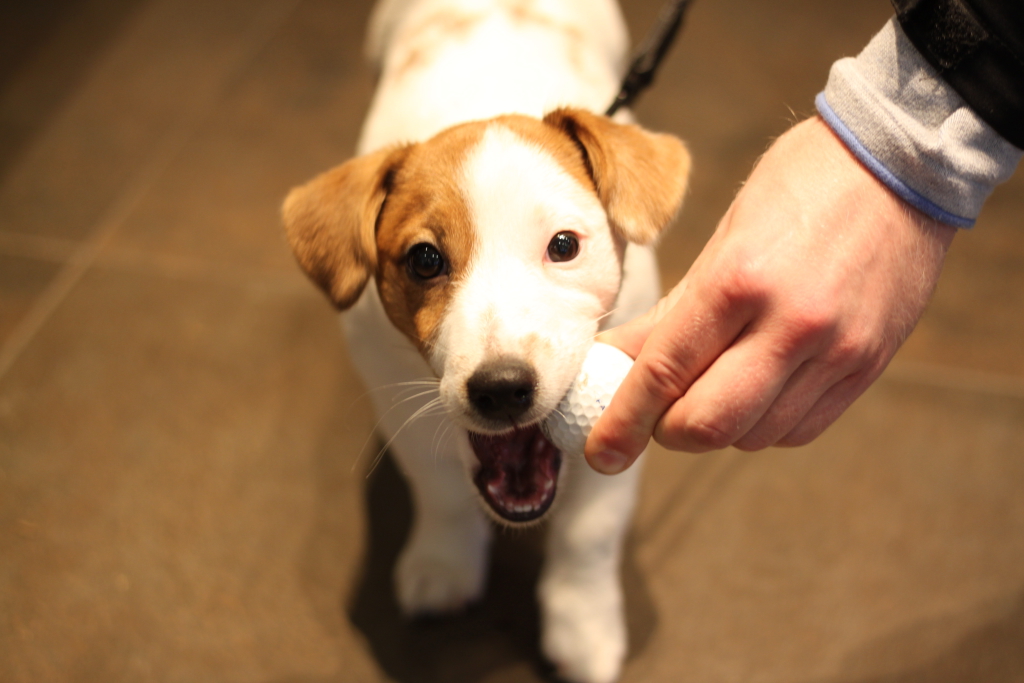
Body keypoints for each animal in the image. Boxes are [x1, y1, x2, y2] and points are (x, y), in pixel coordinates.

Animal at [284, 2, 692, 679]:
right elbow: (442, 494)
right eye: (424, 259)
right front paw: (444, 564)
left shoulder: (625, 419)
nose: (502, 390)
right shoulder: (401, 406)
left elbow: (589, 534)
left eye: (564, 245)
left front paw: (583, 627)